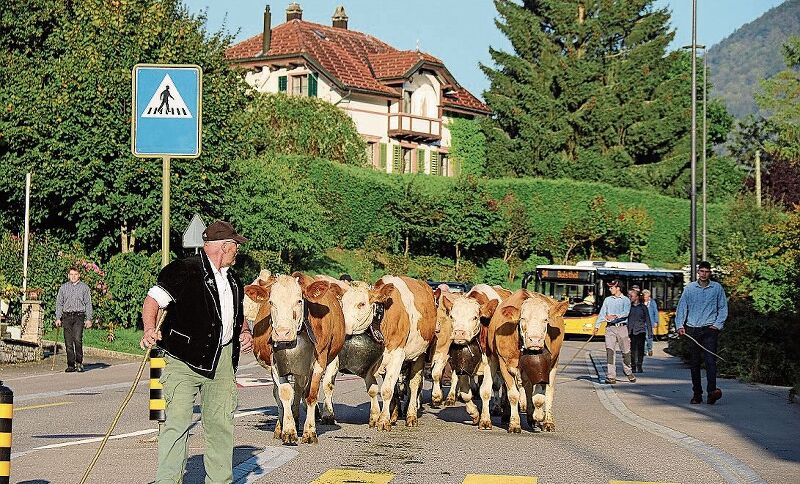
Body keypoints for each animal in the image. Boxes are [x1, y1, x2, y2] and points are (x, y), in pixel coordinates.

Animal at [242, 270, 346, 444]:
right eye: (271, 302)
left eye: (299, 301)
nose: (282, 333)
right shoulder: (276, 364)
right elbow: (284, 394)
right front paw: (288, 431)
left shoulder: (319, 361)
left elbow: (310, 395)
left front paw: (309, 432)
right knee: (285, 392)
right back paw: (283, 425)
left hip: (328, 359)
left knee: (315, 387)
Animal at [488, 290, 568, 432]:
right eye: (523, 318)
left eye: (545, 319)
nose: (535, 340)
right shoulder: (503, 364)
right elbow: (513, 395)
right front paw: (514, 424)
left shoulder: (545, 368)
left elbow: (539, 398)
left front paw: (539, 416)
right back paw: (507, 416)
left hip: (554, 363)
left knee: (547, 391)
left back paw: (545, 421)